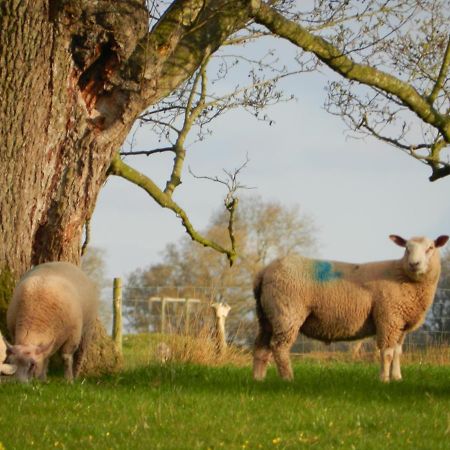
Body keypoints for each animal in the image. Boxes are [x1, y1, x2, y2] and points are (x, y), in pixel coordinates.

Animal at [253, 236, 450, 384]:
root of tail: (265, 271)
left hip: (267, 317)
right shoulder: (388, 318)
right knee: (279, 347)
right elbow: (387, 353)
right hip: (287, 312)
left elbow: (397, 352)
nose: (414, 264)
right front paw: (384, 380)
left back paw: (258, 379)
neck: (402, 276)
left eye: (430, 247)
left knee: (261, 347)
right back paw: (288, 379)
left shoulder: (400, 324)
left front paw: (397, 378)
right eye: (407, 249)